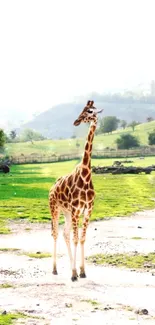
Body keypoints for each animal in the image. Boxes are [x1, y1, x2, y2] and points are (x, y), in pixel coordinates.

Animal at [49, 100, 103, 280]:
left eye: (91, 111)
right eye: (83, 109)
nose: (76, 121)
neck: (86, 175)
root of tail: (51, 188)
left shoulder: (87, 210)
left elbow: (82, 238)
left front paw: (82, 271)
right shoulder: (76, 210)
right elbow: (75, 238)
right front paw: (73, 273)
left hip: (66, 212)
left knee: (65, 233)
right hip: (55, 208)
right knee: (55, 233)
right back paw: (55, 269)